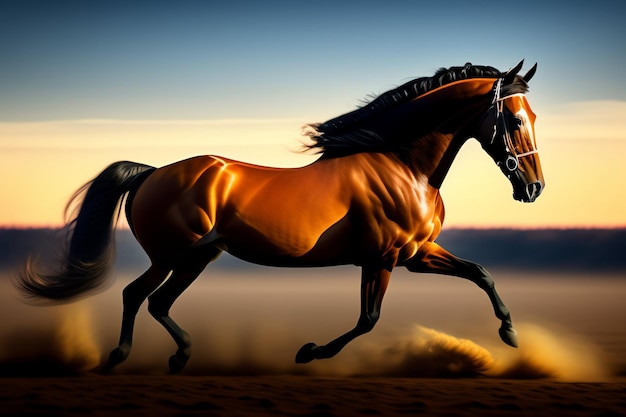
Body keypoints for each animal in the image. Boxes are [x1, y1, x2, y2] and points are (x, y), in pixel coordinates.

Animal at [18, 60, 540, 372]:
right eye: (515, 119)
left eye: (535, 117)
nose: (533, 188)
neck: (402, 165)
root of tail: (151, 173)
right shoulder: (385, 257)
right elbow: (368, 319)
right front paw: (309, 352)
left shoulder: (417, 253)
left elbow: (481, 273)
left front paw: (511, 333)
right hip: (171, 254)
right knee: (136, 294)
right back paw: (119, 356)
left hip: (197, 258)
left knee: (157, 302)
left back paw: (179, 356)